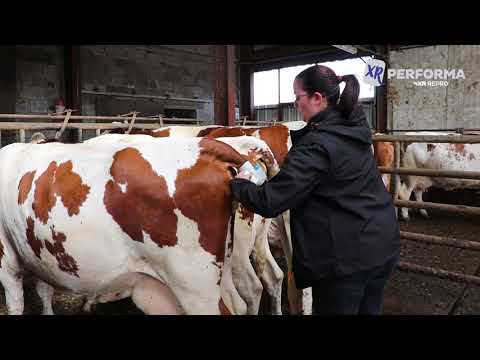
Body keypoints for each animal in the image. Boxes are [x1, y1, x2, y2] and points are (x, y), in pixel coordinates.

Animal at [0, 135, 278, 316]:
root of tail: (208, 148)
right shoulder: (37, 254)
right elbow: (44, 291)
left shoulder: (6, 257)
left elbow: (16, 302)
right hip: (226, 264)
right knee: (240, 301)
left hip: (196, 286)